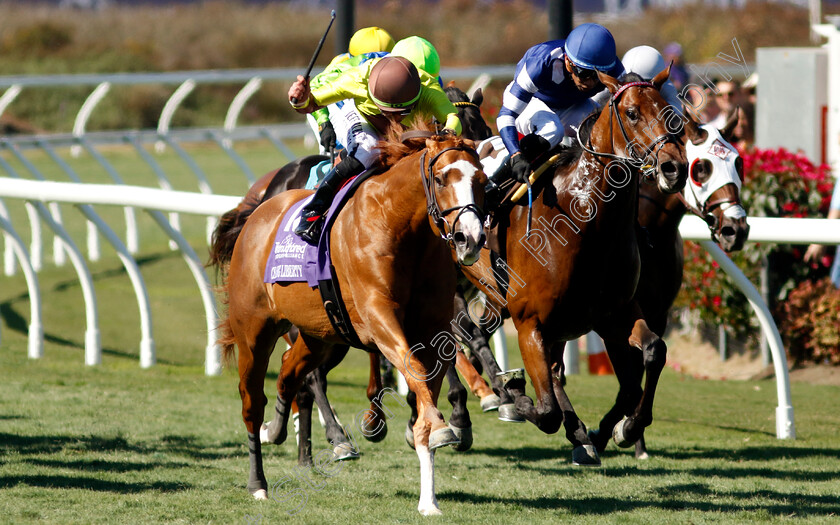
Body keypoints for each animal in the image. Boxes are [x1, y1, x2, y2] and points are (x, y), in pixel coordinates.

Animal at [218, 132, 486, 516]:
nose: (471, 238)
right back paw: (259, 482)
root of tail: (257, 212)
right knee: (252, 402)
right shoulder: (379, 318)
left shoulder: (433, 330)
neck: (401, 227)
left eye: (482, 180)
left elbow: (424, 390)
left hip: (320, 336)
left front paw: (429, 499)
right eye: (440, 179)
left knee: (289, 374)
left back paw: (278, 429)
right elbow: (414, 372)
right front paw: (439, 427)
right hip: (254, 332)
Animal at [460, 68, 688, 462]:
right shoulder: (529, 322)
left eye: (670, 113)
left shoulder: (615, 313)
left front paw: (621, 429)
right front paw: (515, 394)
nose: (675, 168)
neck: (584, 219)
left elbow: (651, 356)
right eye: (632, 113)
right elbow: (546, 410)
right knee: (468, 334)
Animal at [588, 112, 752, 456]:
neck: (649, 232)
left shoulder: (657, 313)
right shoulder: (609, 318)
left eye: (739, 162)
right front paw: (614, 431)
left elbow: (647, 365)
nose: (735, 229)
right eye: (701, 168)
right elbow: (631, 379)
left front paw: (629, 432)